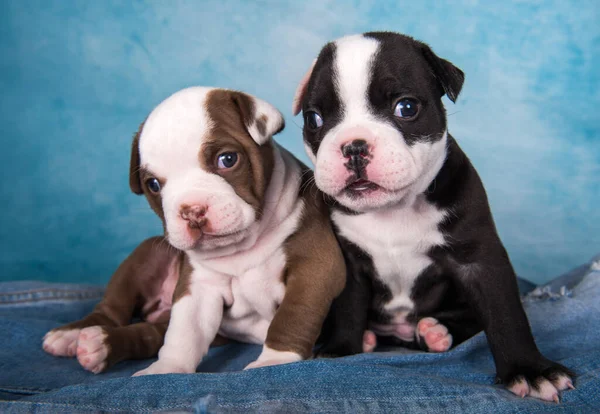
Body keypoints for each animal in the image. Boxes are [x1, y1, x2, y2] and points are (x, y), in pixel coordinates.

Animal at [42, 85, 344, 374]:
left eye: (227, 159)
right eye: (153, 185)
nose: (192, 211)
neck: (244, 246)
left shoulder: (315, 268)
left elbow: (292, 316)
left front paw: (274, 361)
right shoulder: (198, 286)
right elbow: (185, 332)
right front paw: (168, 370)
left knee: (149, 334)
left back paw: (99, 346)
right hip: (147, 254)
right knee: (114, 309)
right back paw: (75, 334)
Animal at [292, 33, 576, 404]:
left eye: (406, 108)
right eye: (314, 119)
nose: (354, 146)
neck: (394, 210)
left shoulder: (481, 261)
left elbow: (505, 316)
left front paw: (530, 370)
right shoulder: (349, 263)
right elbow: (348, 308)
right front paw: (340, 350)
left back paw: (436, 331)